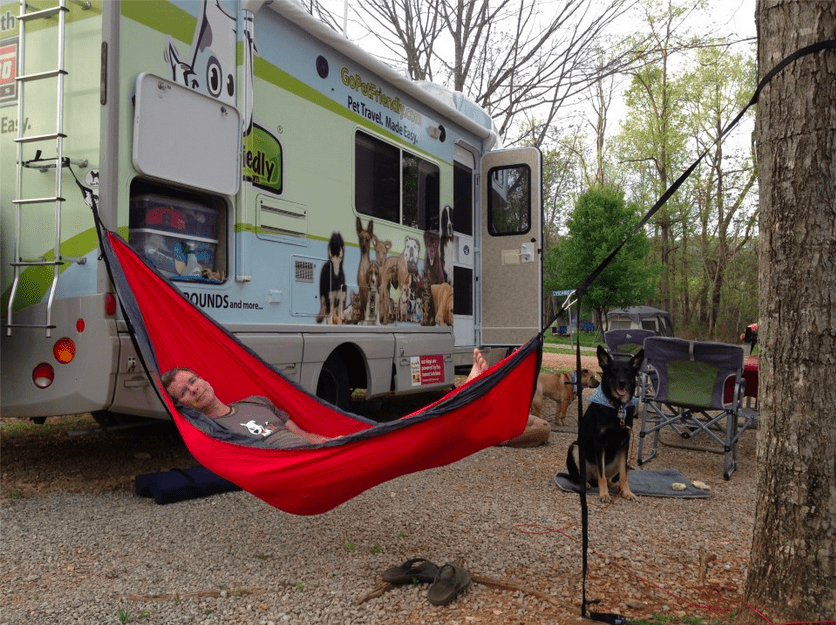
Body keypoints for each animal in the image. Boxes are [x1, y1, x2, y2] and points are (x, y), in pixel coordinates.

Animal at [568, 346, 648, 502]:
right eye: (614, 371)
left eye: (628, 371)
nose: (622, 382)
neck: (617, 407)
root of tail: (591, 477)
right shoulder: (600, 443)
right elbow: (602, 475)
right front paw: (604, 494)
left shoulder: (624, 444)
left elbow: (623, 476)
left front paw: (627, 492)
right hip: (575, 448)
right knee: (581, 476)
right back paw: (586, 484)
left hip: (621, 459)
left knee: (611, 477)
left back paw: (616, 487)